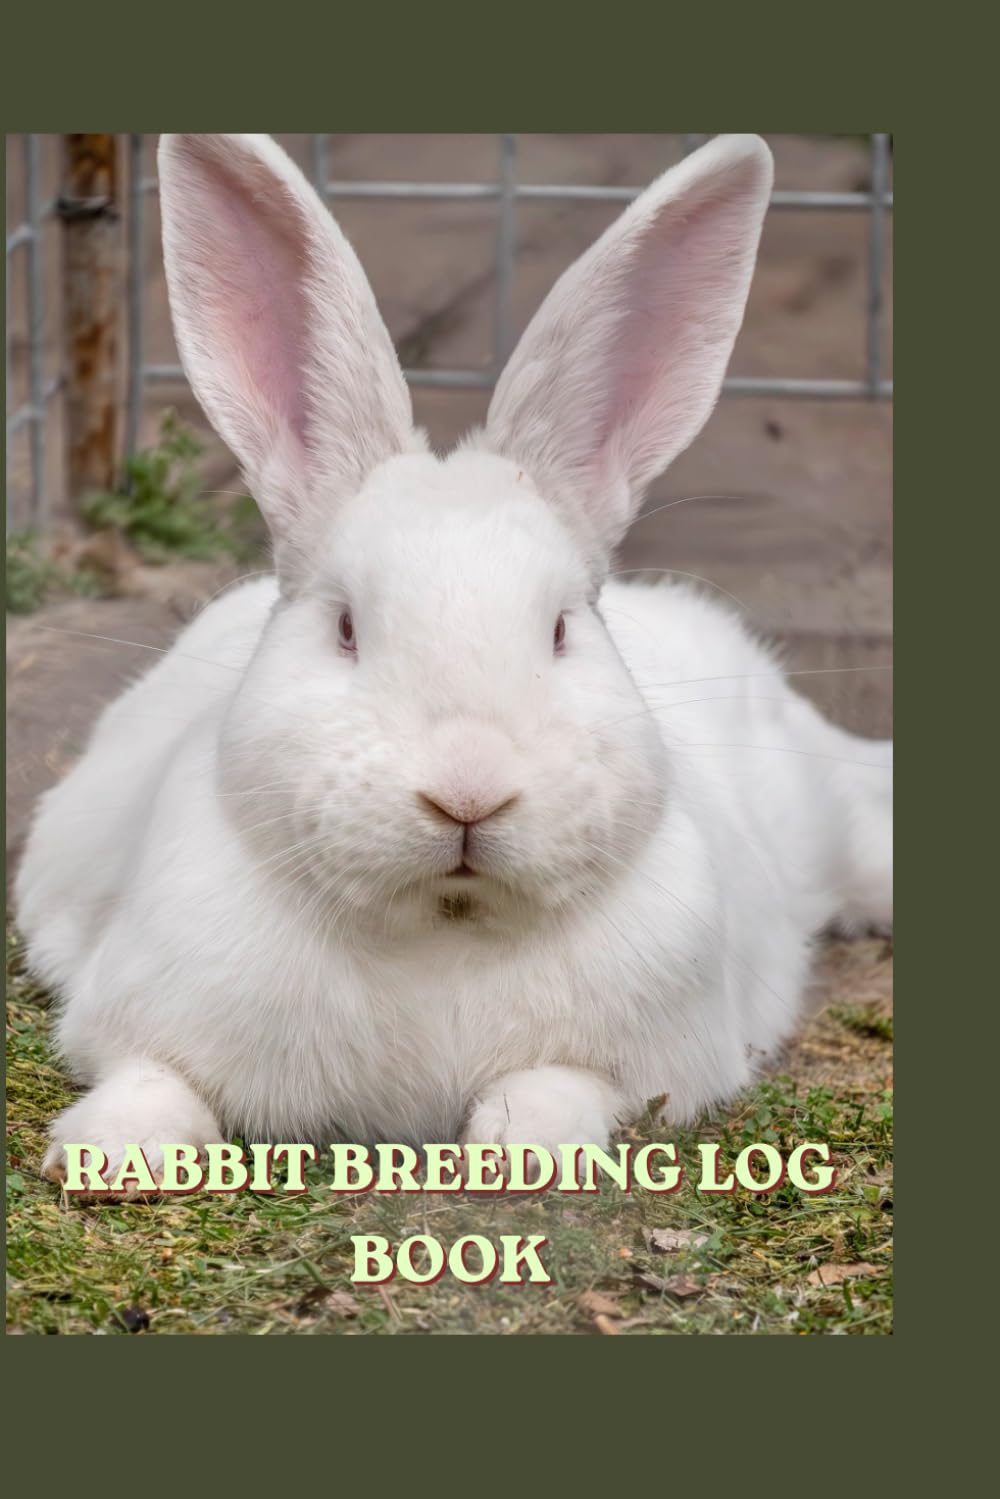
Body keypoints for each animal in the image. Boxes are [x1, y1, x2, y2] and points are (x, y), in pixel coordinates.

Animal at [14, 133, 892, 1186]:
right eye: (346, 627)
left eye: (560, 628)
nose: (468, 792)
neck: (442, 923)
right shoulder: (139, 1004)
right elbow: (150, 1077)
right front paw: (111, 1154)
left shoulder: (654, 1053)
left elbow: (557, 1086)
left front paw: (521, 1152)